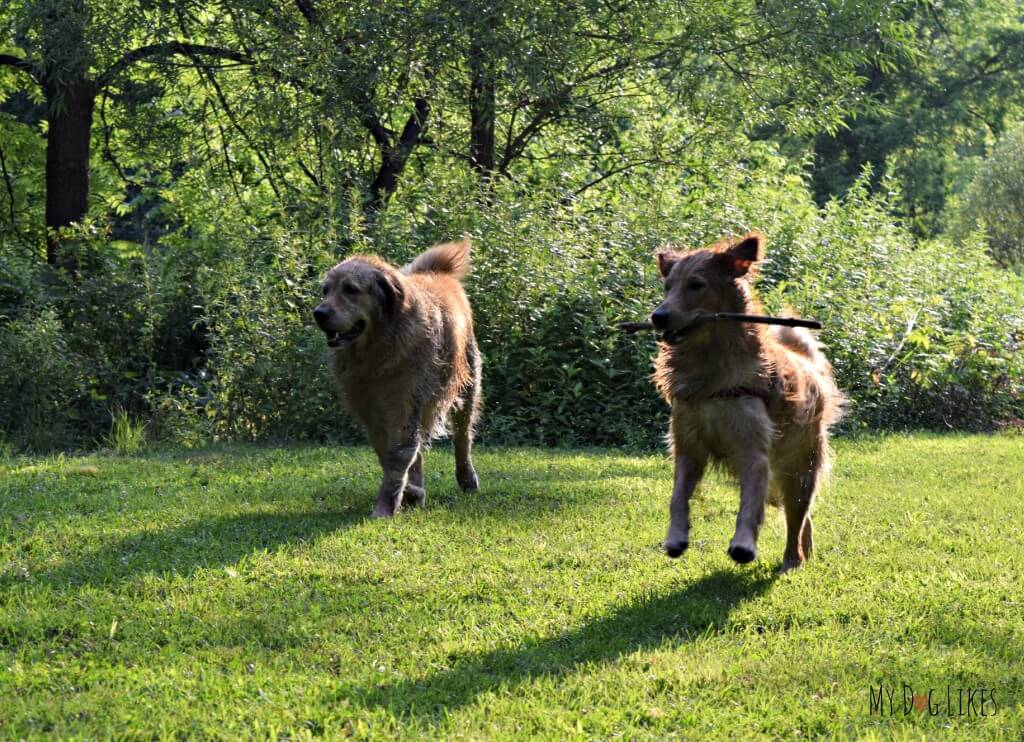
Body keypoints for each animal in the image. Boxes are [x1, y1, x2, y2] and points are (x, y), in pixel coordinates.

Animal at [313, 240, 481, 517]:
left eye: (351, 290)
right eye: (325, 291)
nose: (319, 312)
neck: (377, 351)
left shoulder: (406, 401)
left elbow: (398, 456)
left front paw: (385, 506)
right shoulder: (369, 409)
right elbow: (389, 454)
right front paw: (410, 492)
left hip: (466, 389)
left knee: (462, 439)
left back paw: (467, 478)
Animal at [651, 231, 843, 573]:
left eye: (696, 284)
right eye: (667, 286)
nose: (657, 317)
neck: (711, 368)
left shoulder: (753, 451)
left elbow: (749, 505)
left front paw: (743, 545)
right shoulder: (688, 445)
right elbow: (677, 497)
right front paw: (675, 538)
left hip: (800, 468)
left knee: (797, 515)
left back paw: (792, 559)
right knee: (802, 517)